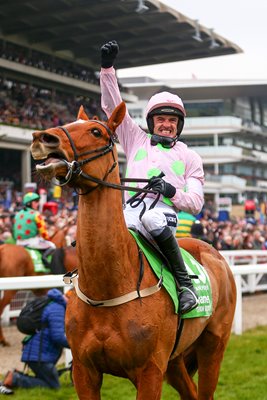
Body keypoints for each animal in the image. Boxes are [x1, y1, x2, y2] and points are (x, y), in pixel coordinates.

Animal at [30, 103, 238, 400]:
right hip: (175, 361)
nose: (43, 138)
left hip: (213, 345)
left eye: (96, 131)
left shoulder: (149, 371)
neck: (107, 289)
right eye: (68, 123)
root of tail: (215, 253)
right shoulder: (84, 371)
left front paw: (163, 186)